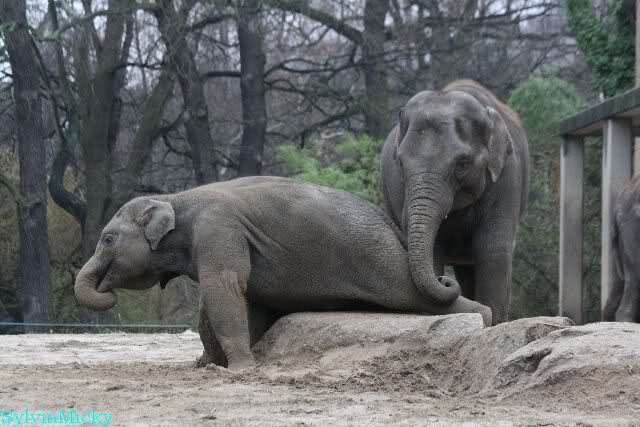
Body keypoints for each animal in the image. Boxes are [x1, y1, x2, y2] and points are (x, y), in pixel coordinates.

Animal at [74, 176, 492, 369]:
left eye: (108, 239)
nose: (107, 292)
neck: (175, 198)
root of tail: (388, 223)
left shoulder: (218, 228)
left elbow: (224, 287)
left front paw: (241, 370)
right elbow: (232, 300)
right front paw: (206, 365)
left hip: (379, 258)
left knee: (411, 293)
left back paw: (484, 318)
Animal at [381, 79, 529, 324]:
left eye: (462, 164)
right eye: (400, 163)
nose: (443, 280)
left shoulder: (507, 176)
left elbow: (493, 249)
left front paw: (494, 323)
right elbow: (433, 250)